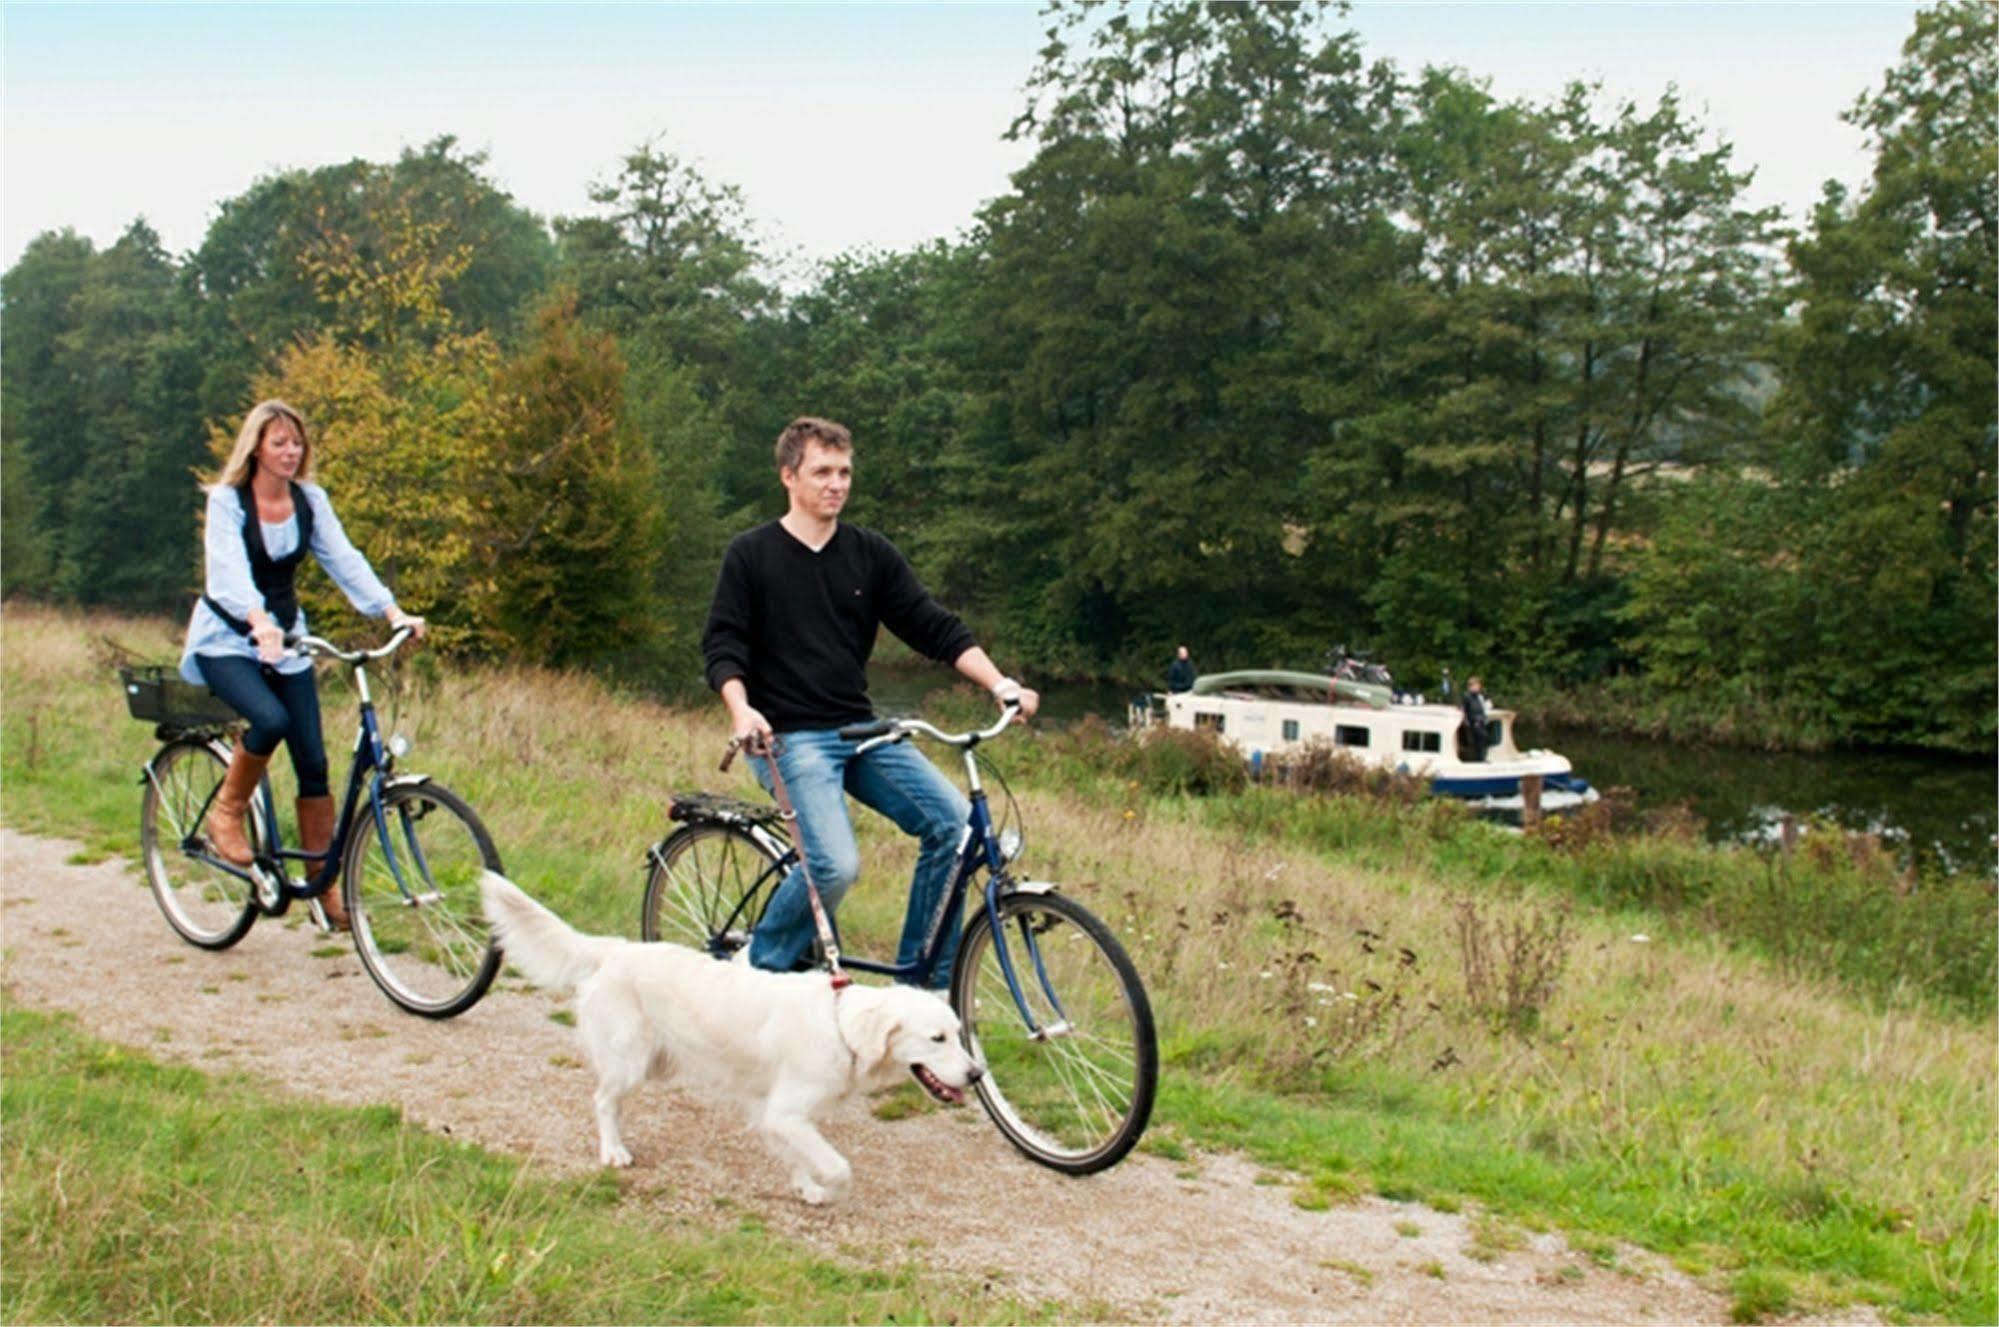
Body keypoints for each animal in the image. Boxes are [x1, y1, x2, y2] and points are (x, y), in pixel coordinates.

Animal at [483, 871, 983, 1199]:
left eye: (959, 1034)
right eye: (937, 1039)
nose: (977, 1074)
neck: (840, 1026)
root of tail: (619, 950)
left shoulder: (780, 1113)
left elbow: (798, 1155)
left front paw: (805, 1187)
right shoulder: (787, 1112)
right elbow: (838, 1166)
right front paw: (829, 1188)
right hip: (630, 1061)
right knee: (603, 1100)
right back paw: (613, 1152)